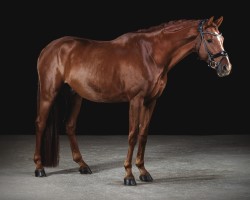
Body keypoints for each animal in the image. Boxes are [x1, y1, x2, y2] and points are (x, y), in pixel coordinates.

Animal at [33, 16, 232, 186]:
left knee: (70, 126)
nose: (226, 67)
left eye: (221, 38)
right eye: (209, 40)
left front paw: (143, 172)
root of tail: (48, 49)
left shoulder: (151, 101)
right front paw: (128, 175)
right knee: (41, 124)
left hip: (75, 95)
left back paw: (83, 165)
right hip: (49, 93)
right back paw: (39, 168)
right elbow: (132, 135)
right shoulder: (135, 100)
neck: (150, 54)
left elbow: (143, 135)